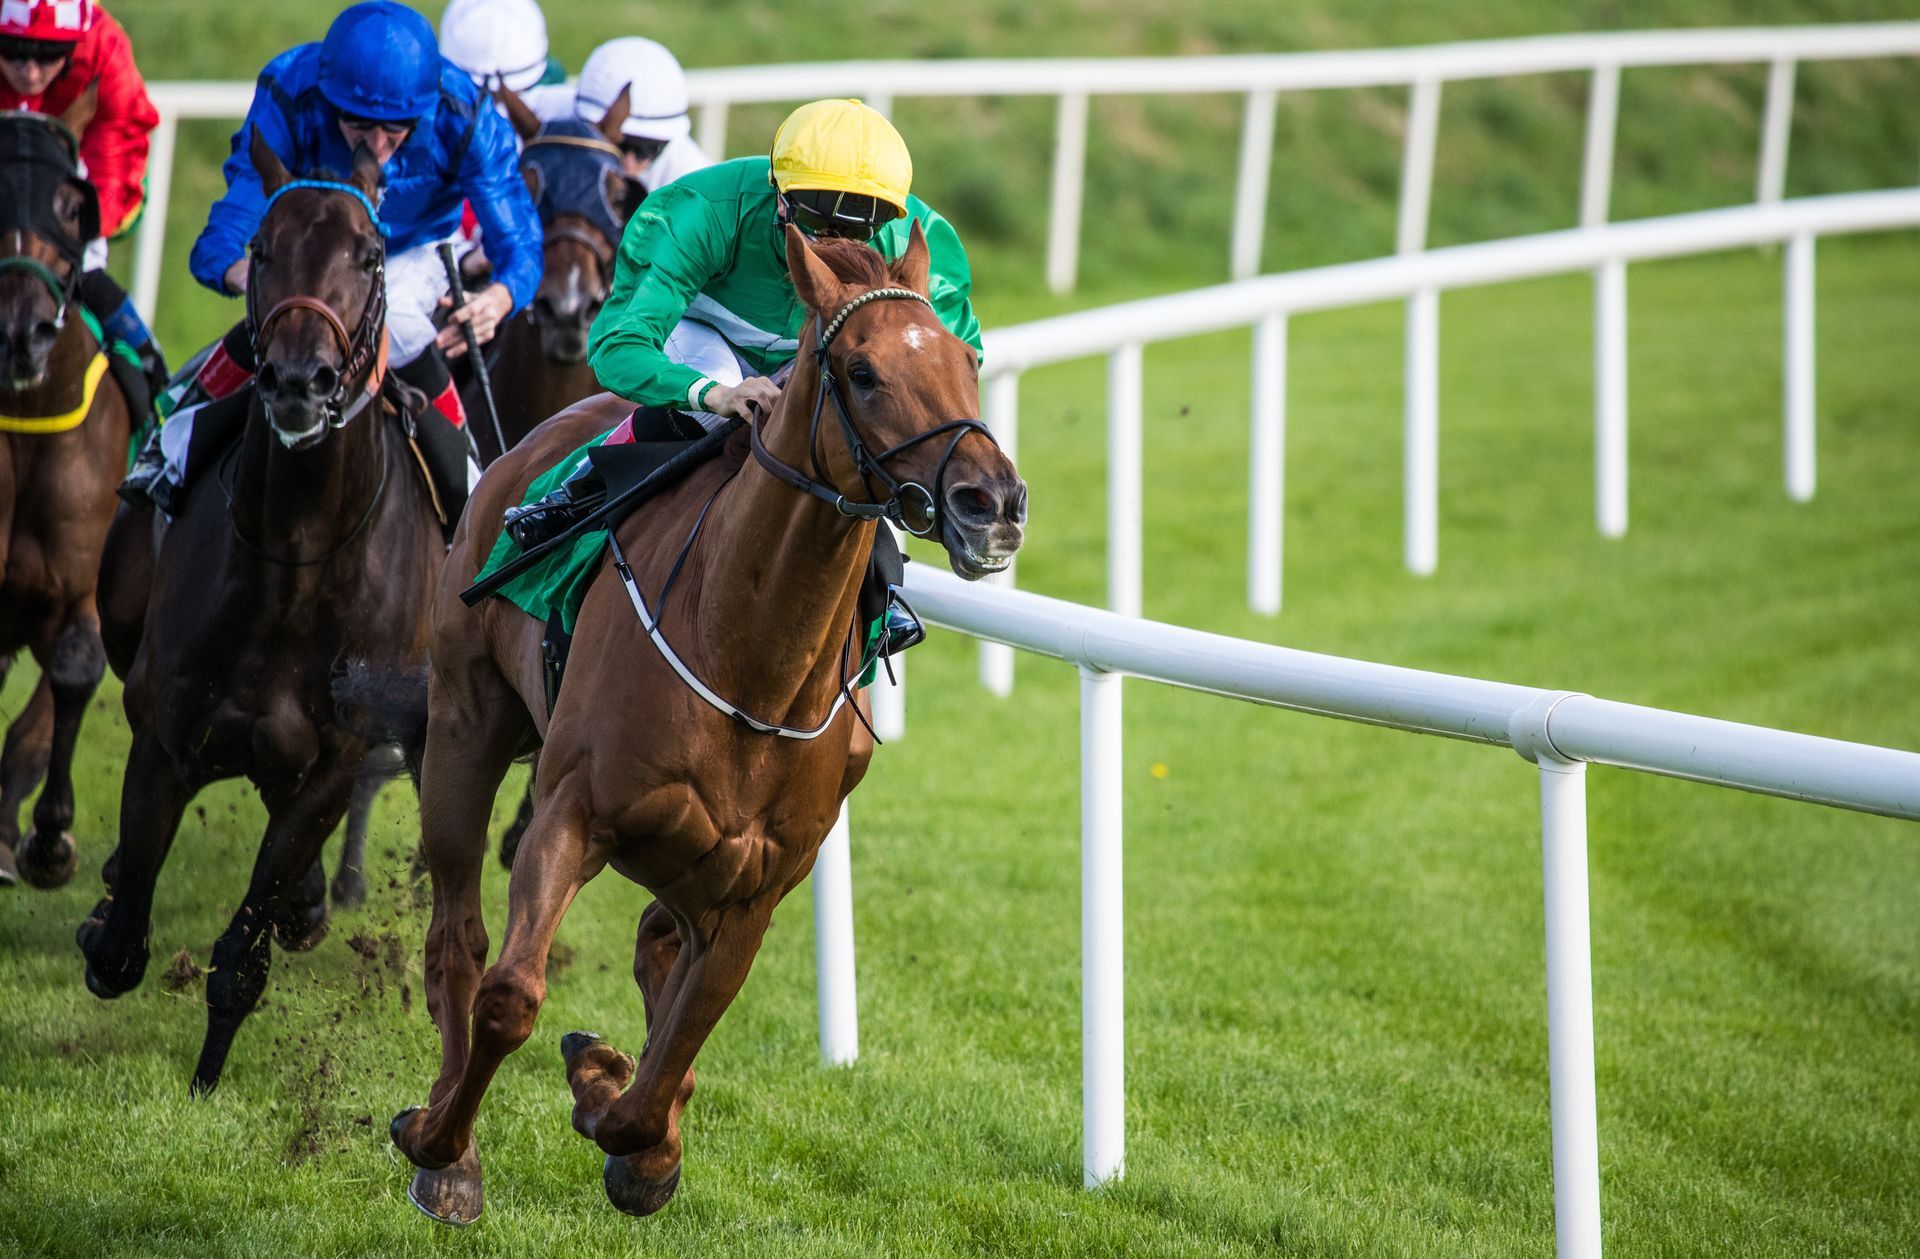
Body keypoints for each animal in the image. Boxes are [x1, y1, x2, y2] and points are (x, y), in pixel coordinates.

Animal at [75, 135, 441, 1090]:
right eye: (264, 247)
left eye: (371, 254)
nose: (299, 379)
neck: (296, 564)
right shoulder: (165, 734)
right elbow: (122, 940)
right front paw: (104, 916)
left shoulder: (335, 762)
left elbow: (245, 945)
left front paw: (207, 1076)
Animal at [382, 226, 1029, 1220]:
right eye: (863, 371)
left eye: (968, 359)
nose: (991, 502)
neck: (745, 657)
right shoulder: (570, 813)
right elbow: (511, 997)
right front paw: (438, 1137)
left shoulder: (755, 885)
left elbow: (668, 1063)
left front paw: (620, 1110)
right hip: (464, 720)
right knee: (459, 937)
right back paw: (449, 1156)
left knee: (656, 947)